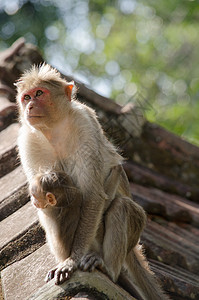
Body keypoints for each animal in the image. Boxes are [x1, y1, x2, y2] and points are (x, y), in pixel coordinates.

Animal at [15, 64, 169, 298]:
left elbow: (93, 194)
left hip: (124, 234)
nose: (30, 105)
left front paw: (72, 260)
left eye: (39, 93)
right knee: (48, 211)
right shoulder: (27, 139)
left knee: (121, 207)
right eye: (26, 97)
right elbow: (42, 194)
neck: (54, 129)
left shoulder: (84, 123)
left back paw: (106, 266)